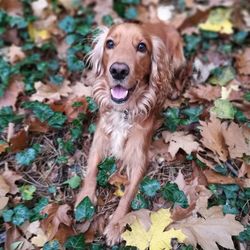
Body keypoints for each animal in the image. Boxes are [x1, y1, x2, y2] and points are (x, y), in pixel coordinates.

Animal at [76, 21, 186, 244]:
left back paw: (173, 89)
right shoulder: (99, 139)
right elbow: (91, 169)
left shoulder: (139, 158)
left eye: (142, 47)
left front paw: (116, 225)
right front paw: (85, 198)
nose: (118, 70)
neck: (124, 110)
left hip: (179, 59)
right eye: (110, 43)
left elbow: (127, 195)